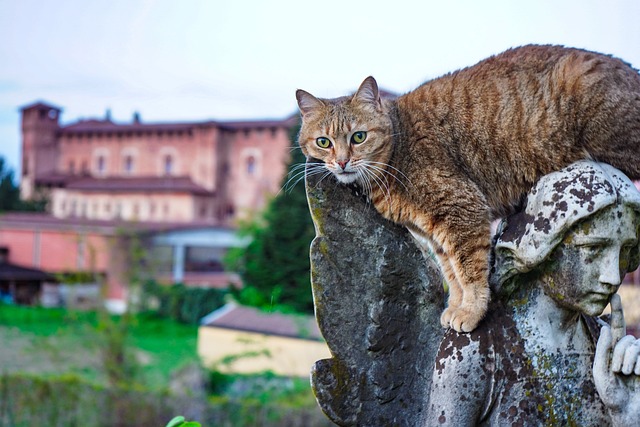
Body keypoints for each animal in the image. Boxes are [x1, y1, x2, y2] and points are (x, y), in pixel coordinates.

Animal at [296, 46, 640, 334]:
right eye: (323, 142)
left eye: (358, 137)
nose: (342, 162)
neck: (396, 150)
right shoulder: (435, 234)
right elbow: (453, 273)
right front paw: (456, 306)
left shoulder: (462, 209)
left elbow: (470, 270)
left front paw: (471, 311)